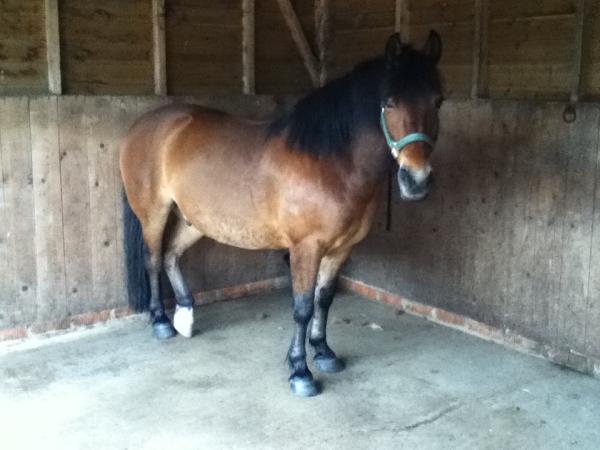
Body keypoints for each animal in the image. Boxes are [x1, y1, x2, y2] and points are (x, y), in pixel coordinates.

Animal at [119, 31, 442, 396]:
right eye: (389, 102)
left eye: (437, 101)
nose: (416, 181)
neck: (332, 163)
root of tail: (143, 125)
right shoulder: (306, 248)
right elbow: (302, 307)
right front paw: (300, 371)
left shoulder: (341, 249)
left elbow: (324, 300)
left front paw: (323, 352)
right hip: (153, 214)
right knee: (153, 260)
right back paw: (161, 322)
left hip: (195, 220)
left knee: (172, 255)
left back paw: (185, 316)